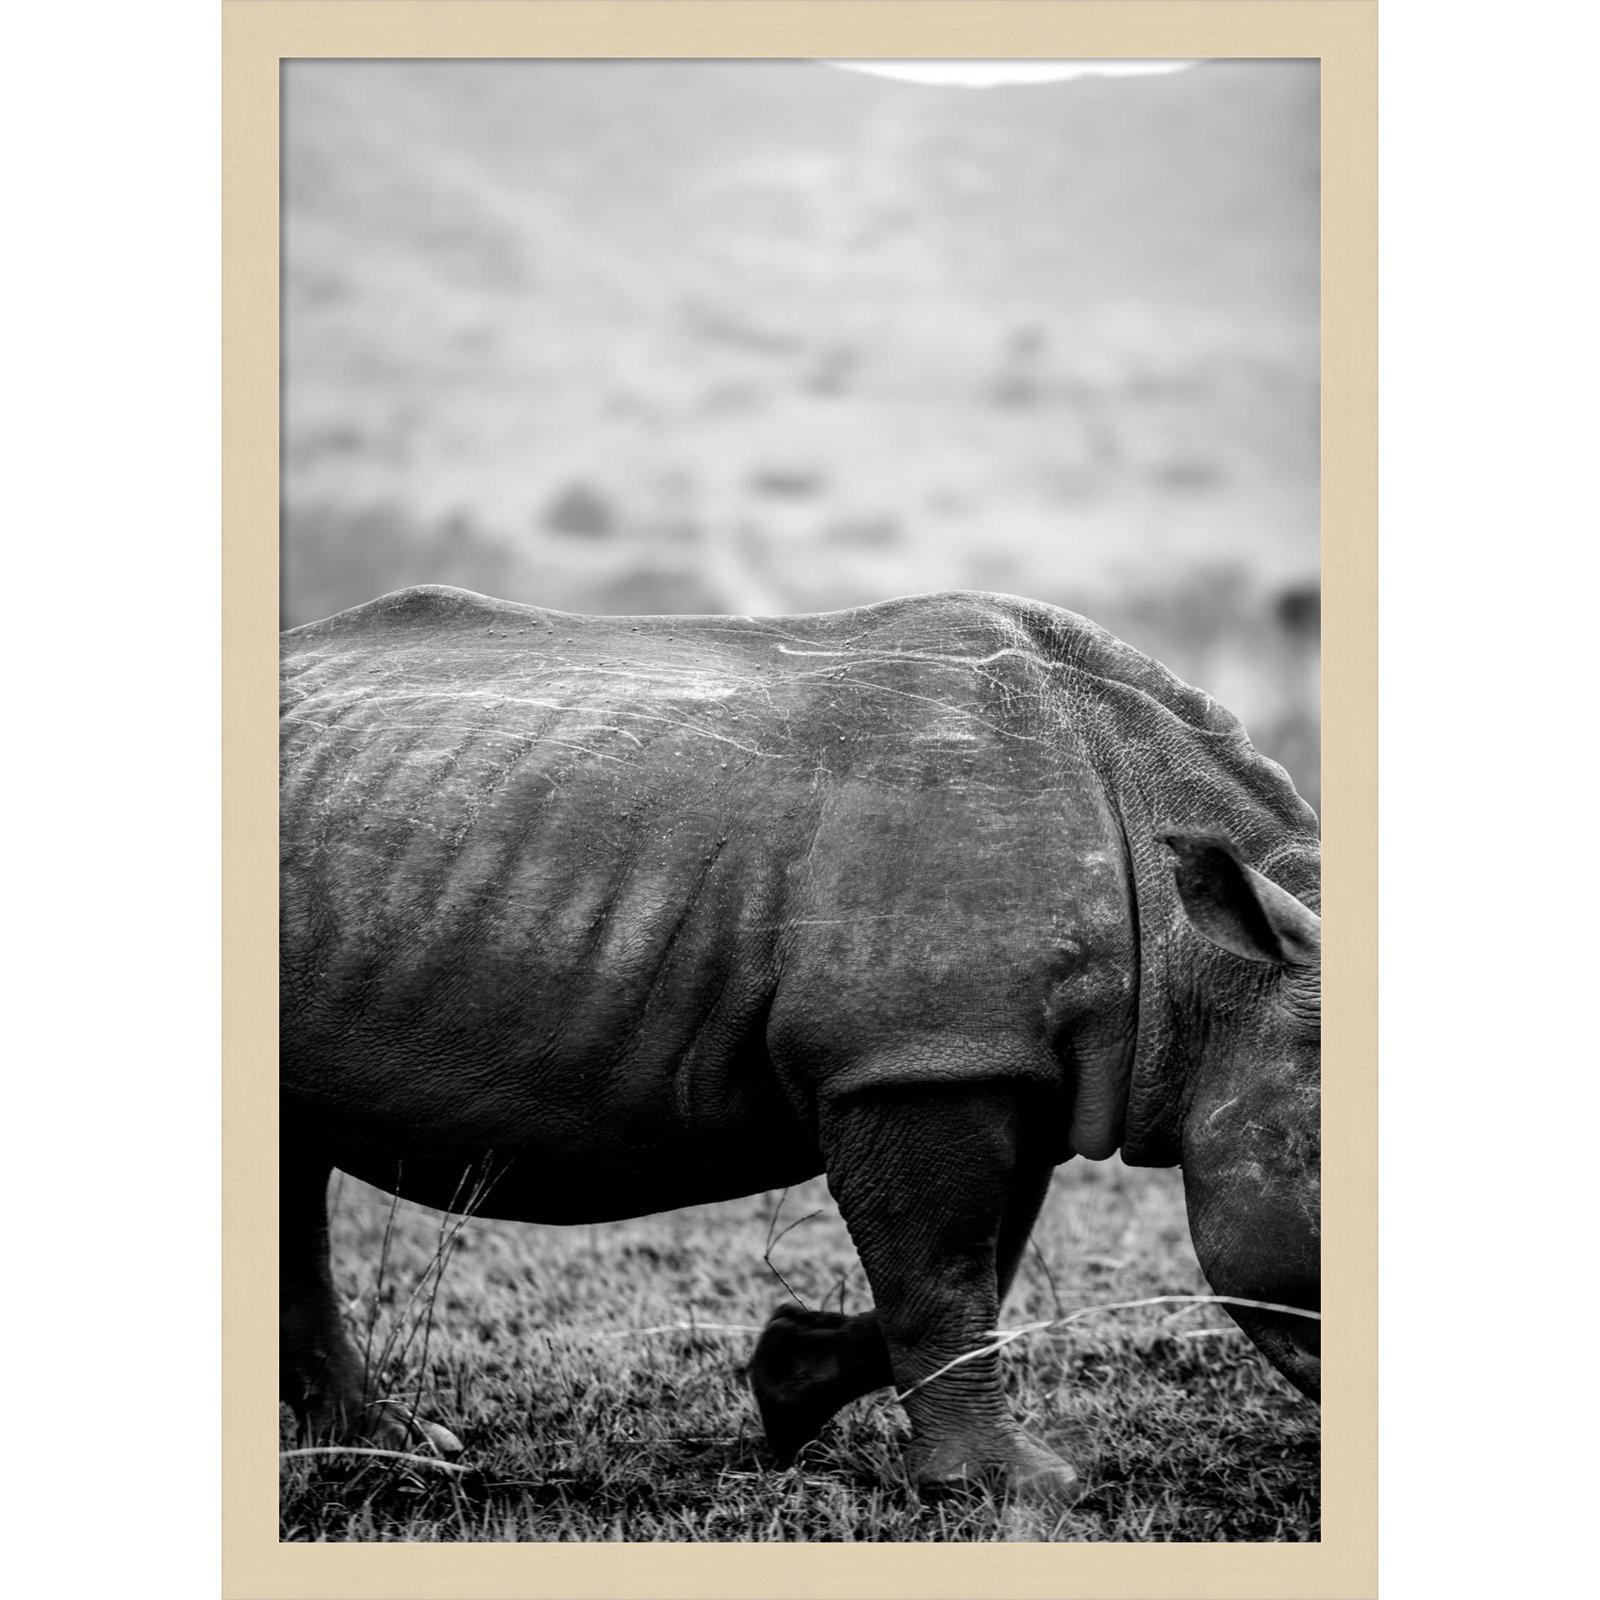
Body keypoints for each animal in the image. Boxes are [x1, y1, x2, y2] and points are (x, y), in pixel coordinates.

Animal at [280, 585, 1320, 1498]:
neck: (1212, 970)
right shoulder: (914, 1057)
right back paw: (395, 1452)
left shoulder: (993, 1057)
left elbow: (985, 1259)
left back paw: (384, 1446)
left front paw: (789, 1384)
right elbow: (944, 1269)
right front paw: (1008, 1488)